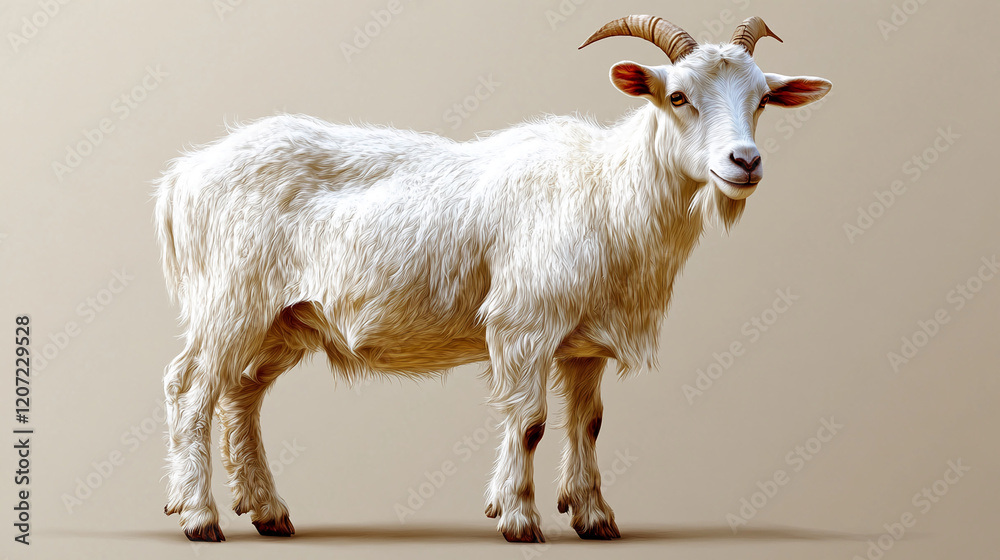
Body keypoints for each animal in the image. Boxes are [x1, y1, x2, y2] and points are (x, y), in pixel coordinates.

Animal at [154, 15, 831, 543]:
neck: (608, 190)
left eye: (761, 100)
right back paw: (199, 516)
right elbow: (529, 422)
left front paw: (594, 517)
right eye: (679, 96)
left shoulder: (584, 342)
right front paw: (519, 518)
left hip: (285, 317)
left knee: (243, 393)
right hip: (231, 300)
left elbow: (588, 421)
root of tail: (181, 175)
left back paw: (268, 511)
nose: (744, 162)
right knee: (191, 388)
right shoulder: (523, 321)